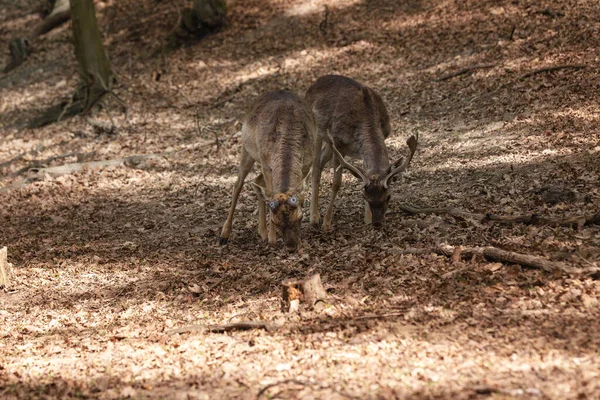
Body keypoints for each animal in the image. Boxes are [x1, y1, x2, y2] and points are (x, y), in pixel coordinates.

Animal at [219, 92, 314, 252]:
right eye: (275, 222)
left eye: (300, 217)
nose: (291, 247)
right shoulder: (265, 163)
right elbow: (269, 194)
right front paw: (272, 239)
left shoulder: (307, 164)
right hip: (247, 150)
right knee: (238, 184)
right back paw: (224, 235)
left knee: (256, 181)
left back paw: (261, 232)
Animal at [304, 75, 418, 231]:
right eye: (365, 197)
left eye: (388, 196)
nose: (377, 223)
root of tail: (311, 86)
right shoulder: (338, 144)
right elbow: (336, 183)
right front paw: (327, 223)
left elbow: (367, 172)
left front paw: (367, 218)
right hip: (316, 131)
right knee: (315, 167)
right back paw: (314, 217)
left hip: (328, 143)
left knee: (320, 162)